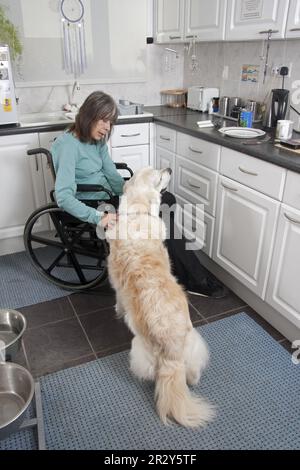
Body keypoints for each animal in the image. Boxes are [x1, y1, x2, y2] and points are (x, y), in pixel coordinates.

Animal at [106, 167, 214, 428]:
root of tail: (171, 354)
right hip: (188, 345)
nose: (169, 168)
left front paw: (118, 311)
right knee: (192, 374)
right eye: (156, 175)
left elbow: (118, 300)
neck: (139, 212)